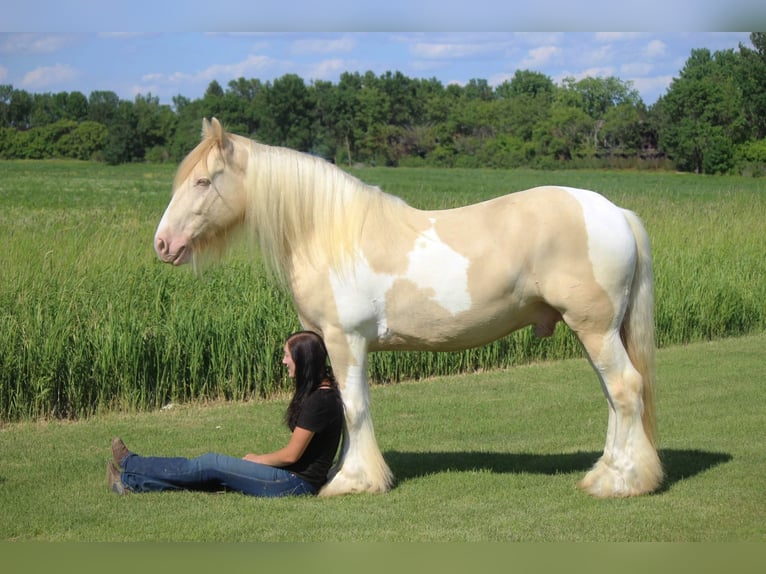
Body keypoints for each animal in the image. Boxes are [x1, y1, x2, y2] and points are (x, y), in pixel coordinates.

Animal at [153, 118, 664, 500]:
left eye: (203, 181)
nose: (162, 244)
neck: (330, 234)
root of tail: (615, 213)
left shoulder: (345, 339)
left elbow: (355, 408)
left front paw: (354, 481)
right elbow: (347, 408)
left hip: (595, 329)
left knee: (625, 389)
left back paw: (621, 482)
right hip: (596, 332)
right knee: (614, 395)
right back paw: (606, 472)